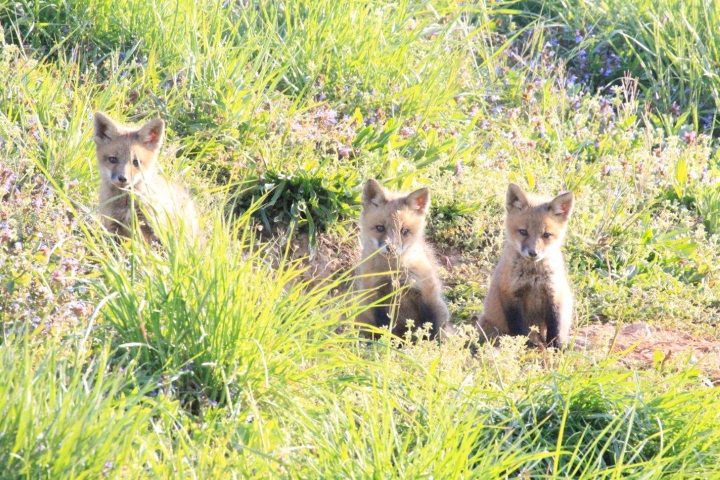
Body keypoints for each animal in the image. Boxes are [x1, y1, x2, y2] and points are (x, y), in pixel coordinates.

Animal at [94, 112, 200, 244]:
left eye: (136, 162)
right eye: (113, 159)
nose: (123, 178)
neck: (127, 205)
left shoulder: (154, 226)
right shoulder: (113, 226)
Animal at [358, 178, 452, 340]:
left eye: (405, 231)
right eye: (380, 228)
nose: (391, 248)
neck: (393, 273)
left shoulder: (425, 293)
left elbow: (431, 326)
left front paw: (429, 345)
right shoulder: (376, 296)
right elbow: (384, 328)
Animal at [478, 184, 572, 348]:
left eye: (546, 235)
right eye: (523, 232)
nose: (533, 253)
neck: (533, 275)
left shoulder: (554, 294)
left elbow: (556, 328)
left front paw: (557, 348)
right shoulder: (511, 295)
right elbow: (519, 329)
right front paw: (524, 346)